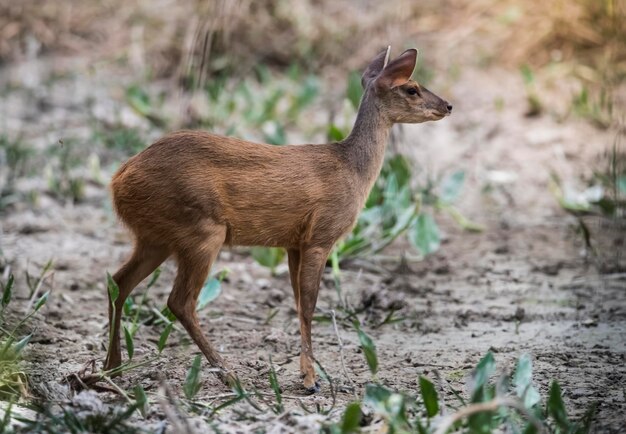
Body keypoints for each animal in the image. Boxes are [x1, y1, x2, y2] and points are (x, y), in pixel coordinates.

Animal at [105, 46, 450, 394]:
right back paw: (228, 374)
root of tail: (118, 179)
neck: (351, 170)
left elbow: (297, 302)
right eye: (412, 88)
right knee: (179, 301)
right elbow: (309, 304)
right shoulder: (321, 236)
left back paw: (112, 368)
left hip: (156, 237)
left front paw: (306, 373)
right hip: (201, 230)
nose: (448, 105)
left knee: (119, 281)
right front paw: (311, 379)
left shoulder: (293, 243)